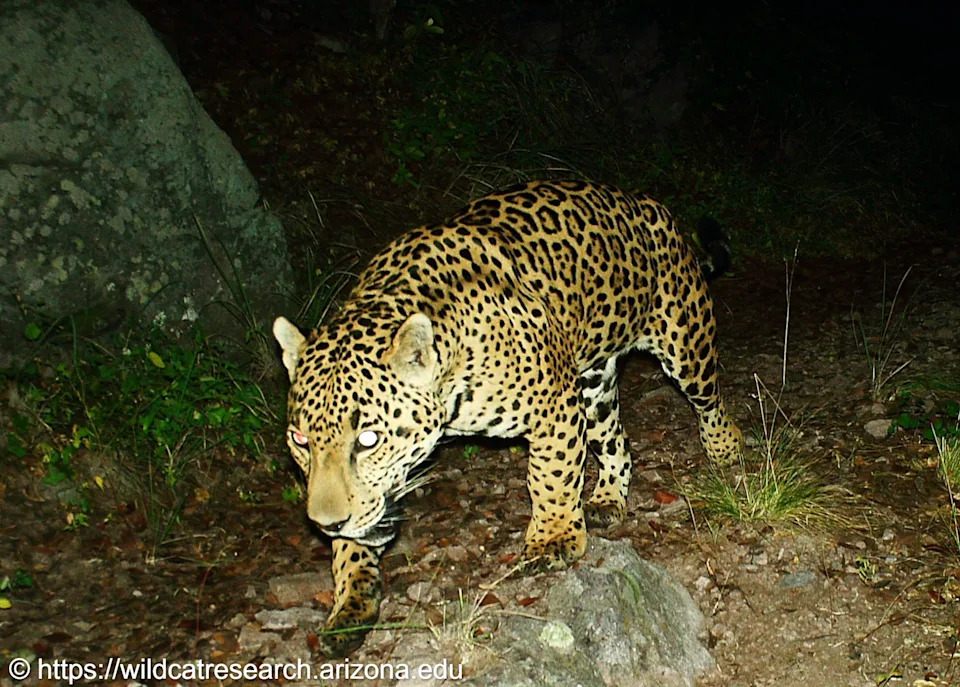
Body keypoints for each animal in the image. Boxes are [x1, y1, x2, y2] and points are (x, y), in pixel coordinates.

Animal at [273, 179, 742, 656]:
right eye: (300, 440)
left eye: (368, 439)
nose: (326, 524)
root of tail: (649, 205)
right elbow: (354, 547)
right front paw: (348, 606)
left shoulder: (555, 405)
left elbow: (551, 475)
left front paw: (553, 540)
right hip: (593, 384)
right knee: (616, 443)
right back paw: (608, 499)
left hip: (686, 346)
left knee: (710, 400)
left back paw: (725, 449)